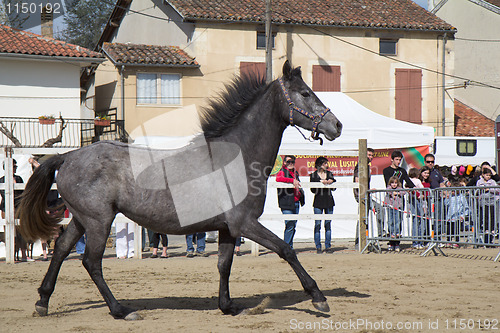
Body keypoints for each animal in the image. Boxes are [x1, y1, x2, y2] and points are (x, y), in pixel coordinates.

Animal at [17, 61, 342, 320]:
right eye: (305, 93)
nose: (336, 125)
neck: (237, 157)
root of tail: (68, 156)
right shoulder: (245, 223)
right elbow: (286, 250)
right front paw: (319, 298)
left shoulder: (227, 228)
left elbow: (224, 265)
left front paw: (228, 306)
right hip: (99, 221)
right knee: (91, 262)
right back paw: (121, 310)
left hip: (81, 219)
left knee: (61, 249)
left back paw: (43, 301)